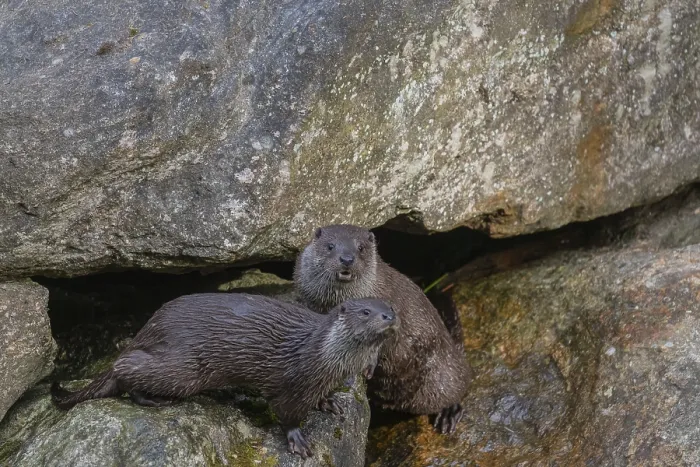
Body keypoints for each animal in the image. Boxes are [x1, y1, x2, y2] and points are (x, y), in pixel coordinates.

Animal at [51, 293, 397, 458]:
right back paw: (150, 399)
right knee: (124, 366)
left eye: (391, 307)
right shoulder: (294, 383)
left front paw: (330, 402)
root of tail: (148, 327)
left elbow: (323, 396)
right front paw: (298, 440)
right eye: (365, 311)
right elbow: (286, 413)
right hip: (183, 369)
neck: (327, 357)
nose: (388, 316)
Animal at [294, 224, 471, 434]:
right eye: (330, 246)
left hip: (444, 375)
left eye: (360, 248)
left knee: (461, 385)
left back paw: (449, 413)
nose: (347, 259)